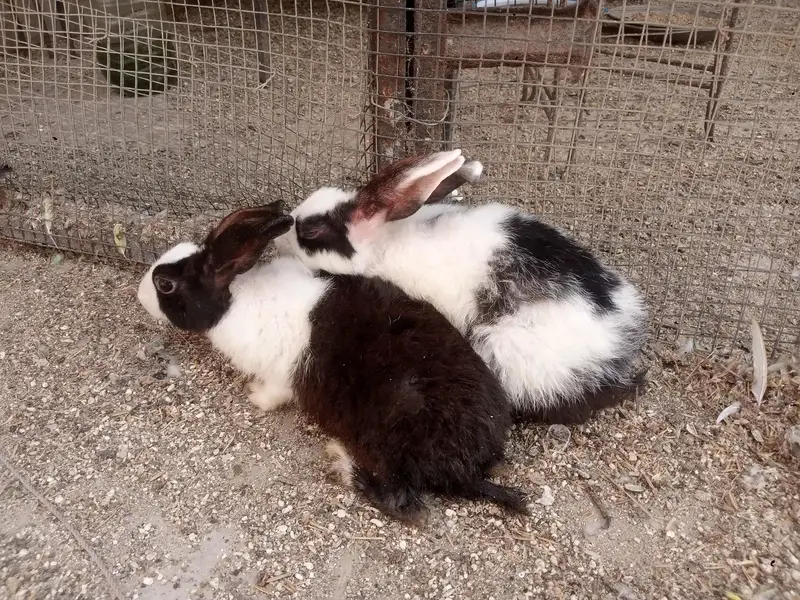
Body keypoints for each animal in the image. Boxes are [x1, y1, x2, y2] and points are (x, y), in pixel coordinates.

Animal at [136, 201, 528, 524]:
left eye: (165, 284)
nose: (139, 295)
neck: (234, 299)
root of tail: (469, 470)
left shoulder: (279, 376)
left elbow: (272, 394)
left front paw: (253, 395)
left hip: (386, 438)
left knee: (405, 504)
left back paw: (343, 462)